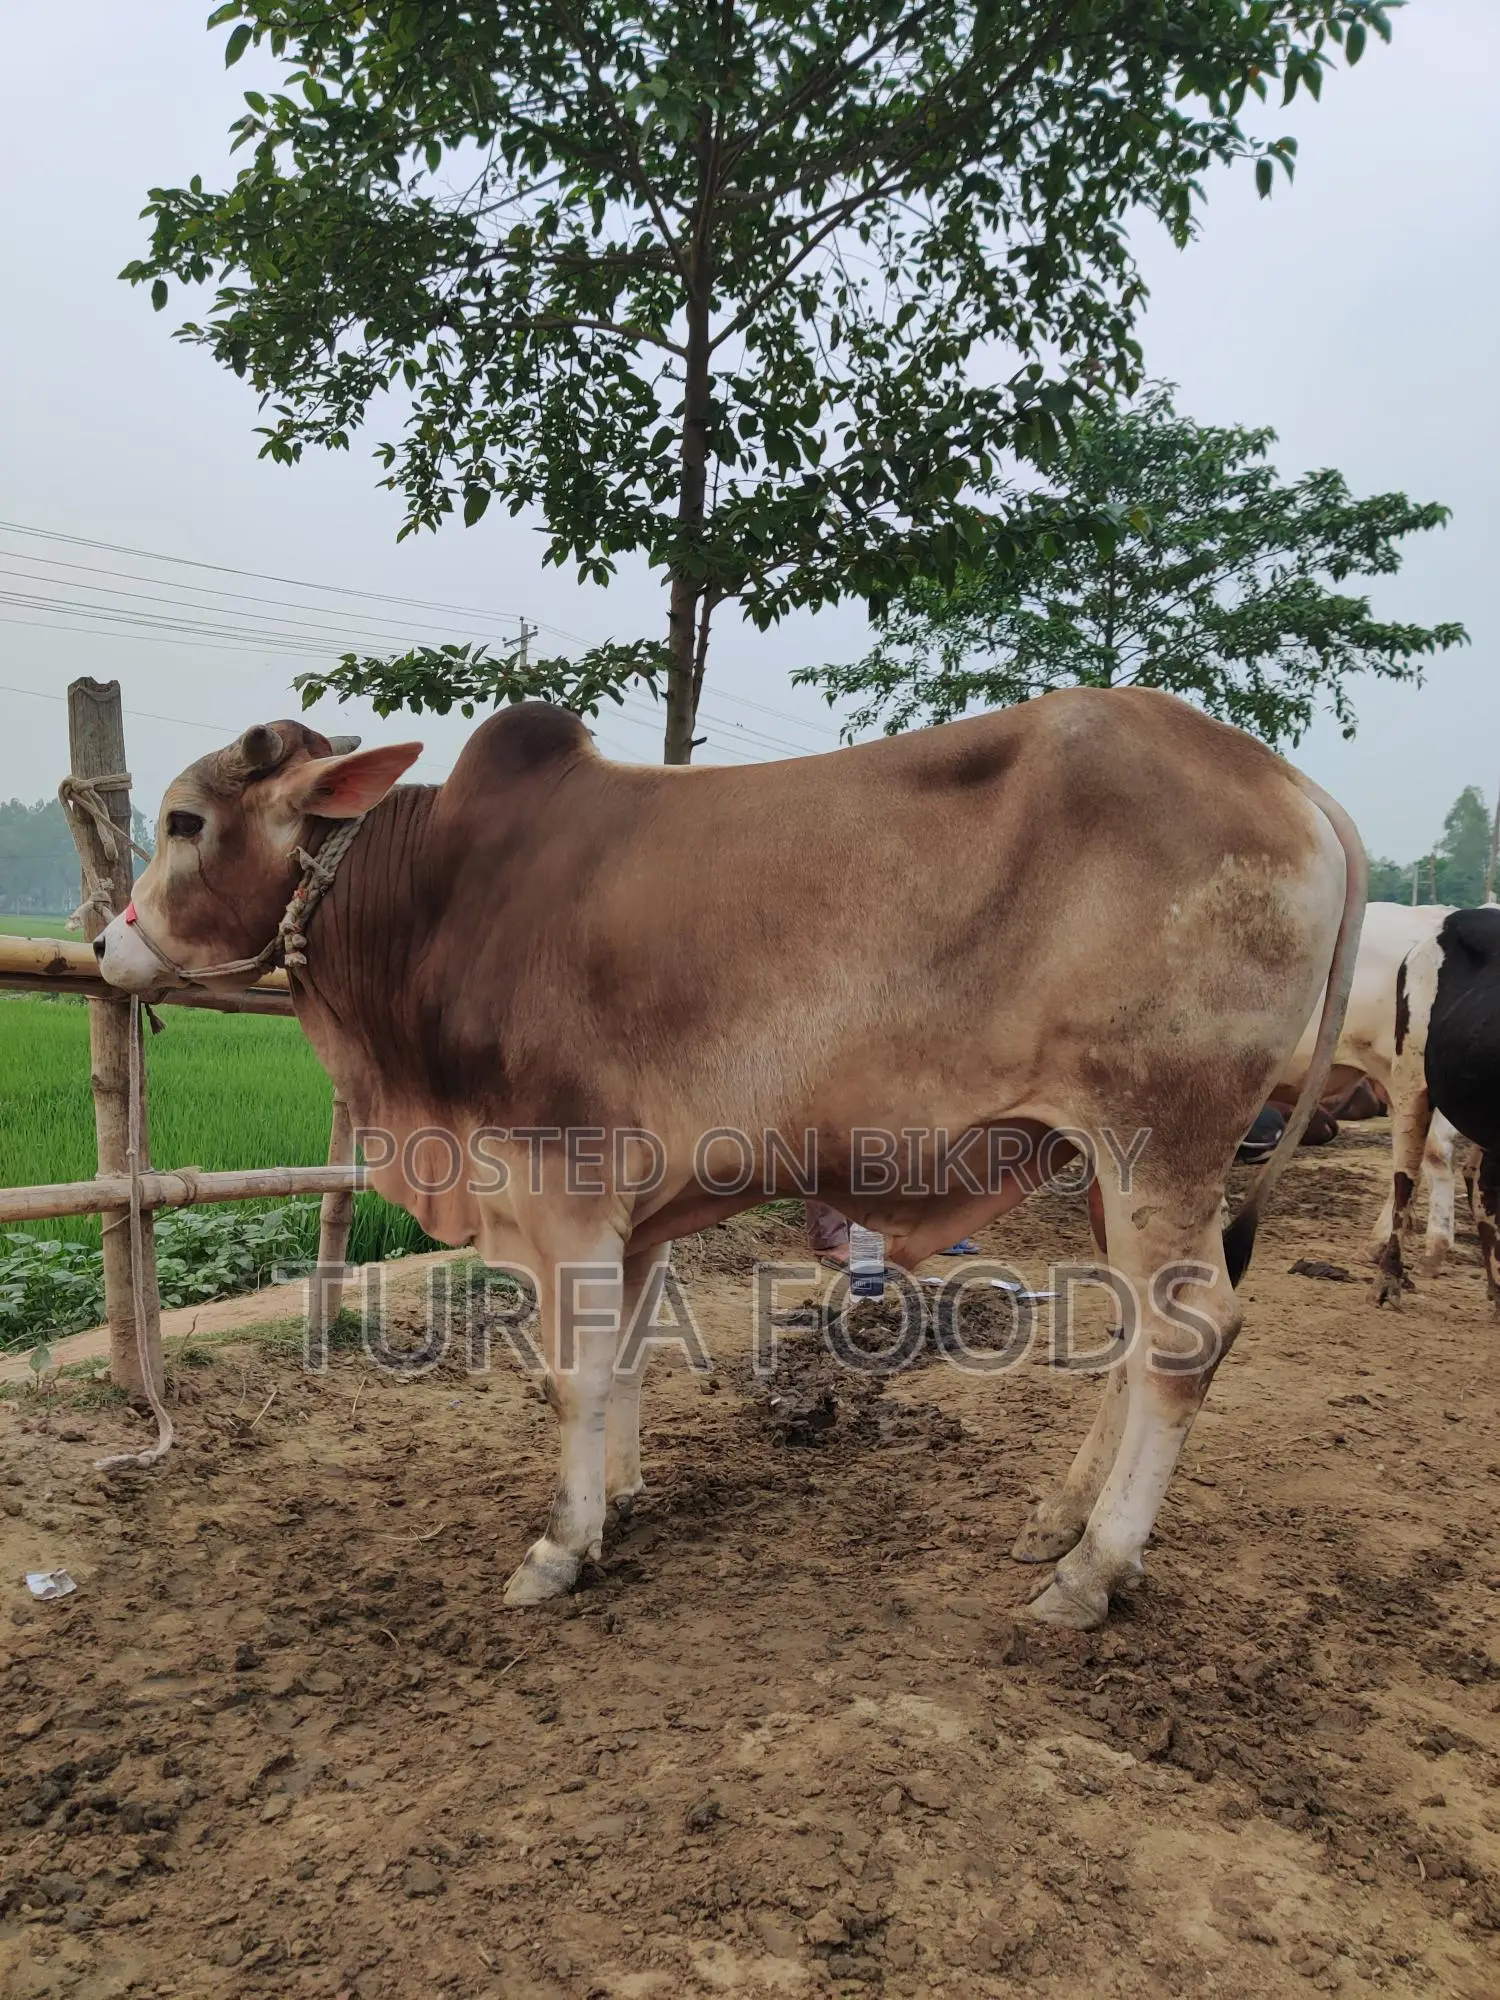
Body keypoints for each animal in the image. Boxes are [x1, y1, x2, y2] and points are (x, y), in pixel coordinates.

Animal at [95, 690, 1363, 1632]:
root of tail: (1286, 782)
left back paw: (1092, 1569)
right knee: (1143, 1334)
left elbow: (572, 1373)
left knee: (1188, 1337)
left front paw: (561, 1543)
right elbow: (624, 1359)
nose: (107, 940)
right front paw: (620, 1495)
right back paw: (1061, 1517)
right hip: (1110, 1167)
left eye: (184, 821)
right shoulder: (633, 1211)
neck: (439, 901)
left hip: (1162, 1144)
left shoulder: (560, 1185)